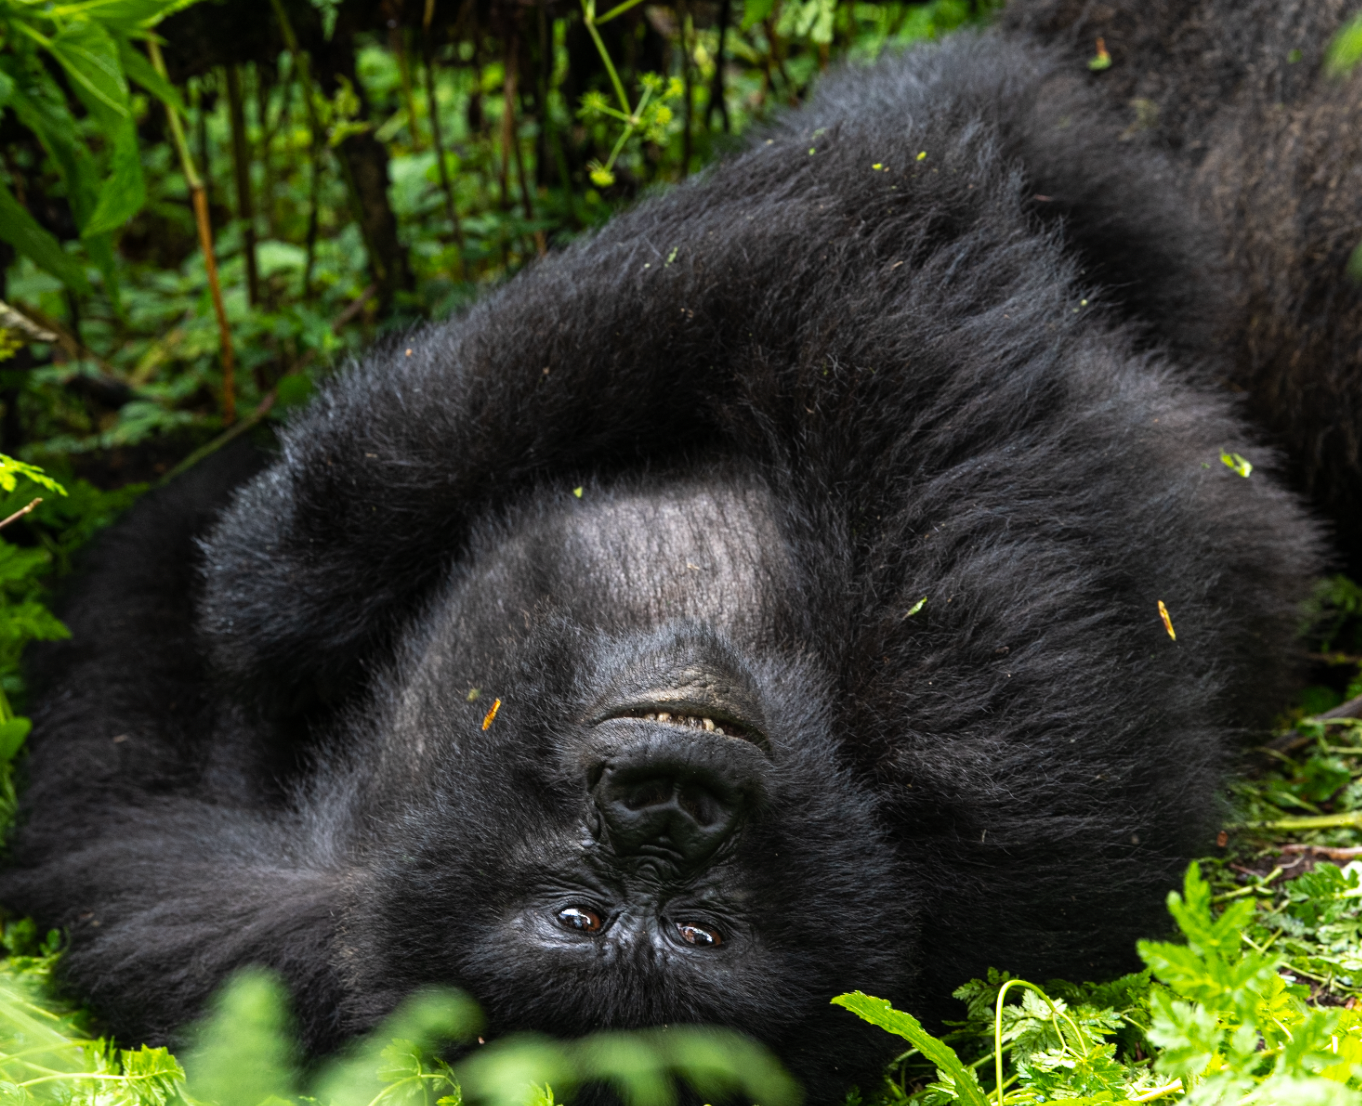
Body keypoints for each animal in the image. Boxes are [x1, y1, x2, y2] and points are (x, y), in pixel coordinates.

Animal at [5, 2, 1356, 1095]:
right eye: (584, 915)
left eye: (696, 930)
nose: (666, 800)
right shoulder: (1009, 809)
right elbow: (868, 238)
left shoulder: (200, 915)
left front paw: (276, 578)